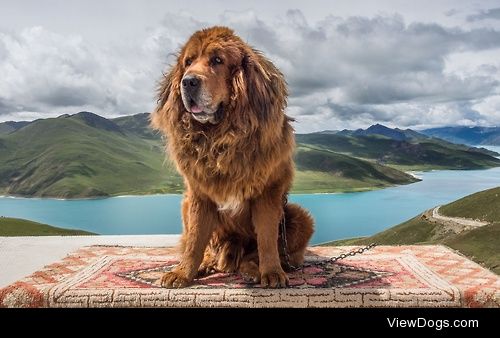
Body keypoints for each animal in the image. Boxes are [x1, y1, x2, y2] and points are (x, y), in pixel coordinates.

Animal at [150, 27, 312, 290]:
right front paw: (184, 272)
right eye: (188, 62)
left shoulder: (268, 193)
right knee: (209, 248)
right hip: (187, 205)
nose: (188, 81)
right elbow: (195, 240)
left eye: (217, 60)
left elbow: (267, 240)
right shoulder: (199, 195)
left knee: (256, 253)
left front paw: (272, 272)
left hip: (299, 217)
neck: (223, 138)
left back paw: (251, 269)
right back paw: (208, 264)